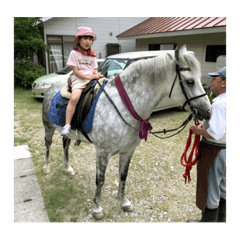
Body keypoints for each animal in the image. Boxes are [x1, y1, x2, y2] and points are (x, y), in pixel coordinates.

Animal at [42, 45, 211, 219]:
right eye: (190, 81)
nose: (208, 111)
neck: (124, 105)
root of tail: (52, 87)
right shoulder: (102, 153)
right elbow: (100, 180)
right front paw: (97, 208)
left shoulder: (128, 151)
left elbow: (123, 176)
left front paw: (124, 202)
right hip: (48, 127)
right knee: (48, 145)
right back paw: (46, 167)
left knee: (65, 146)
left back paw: (68, 168)